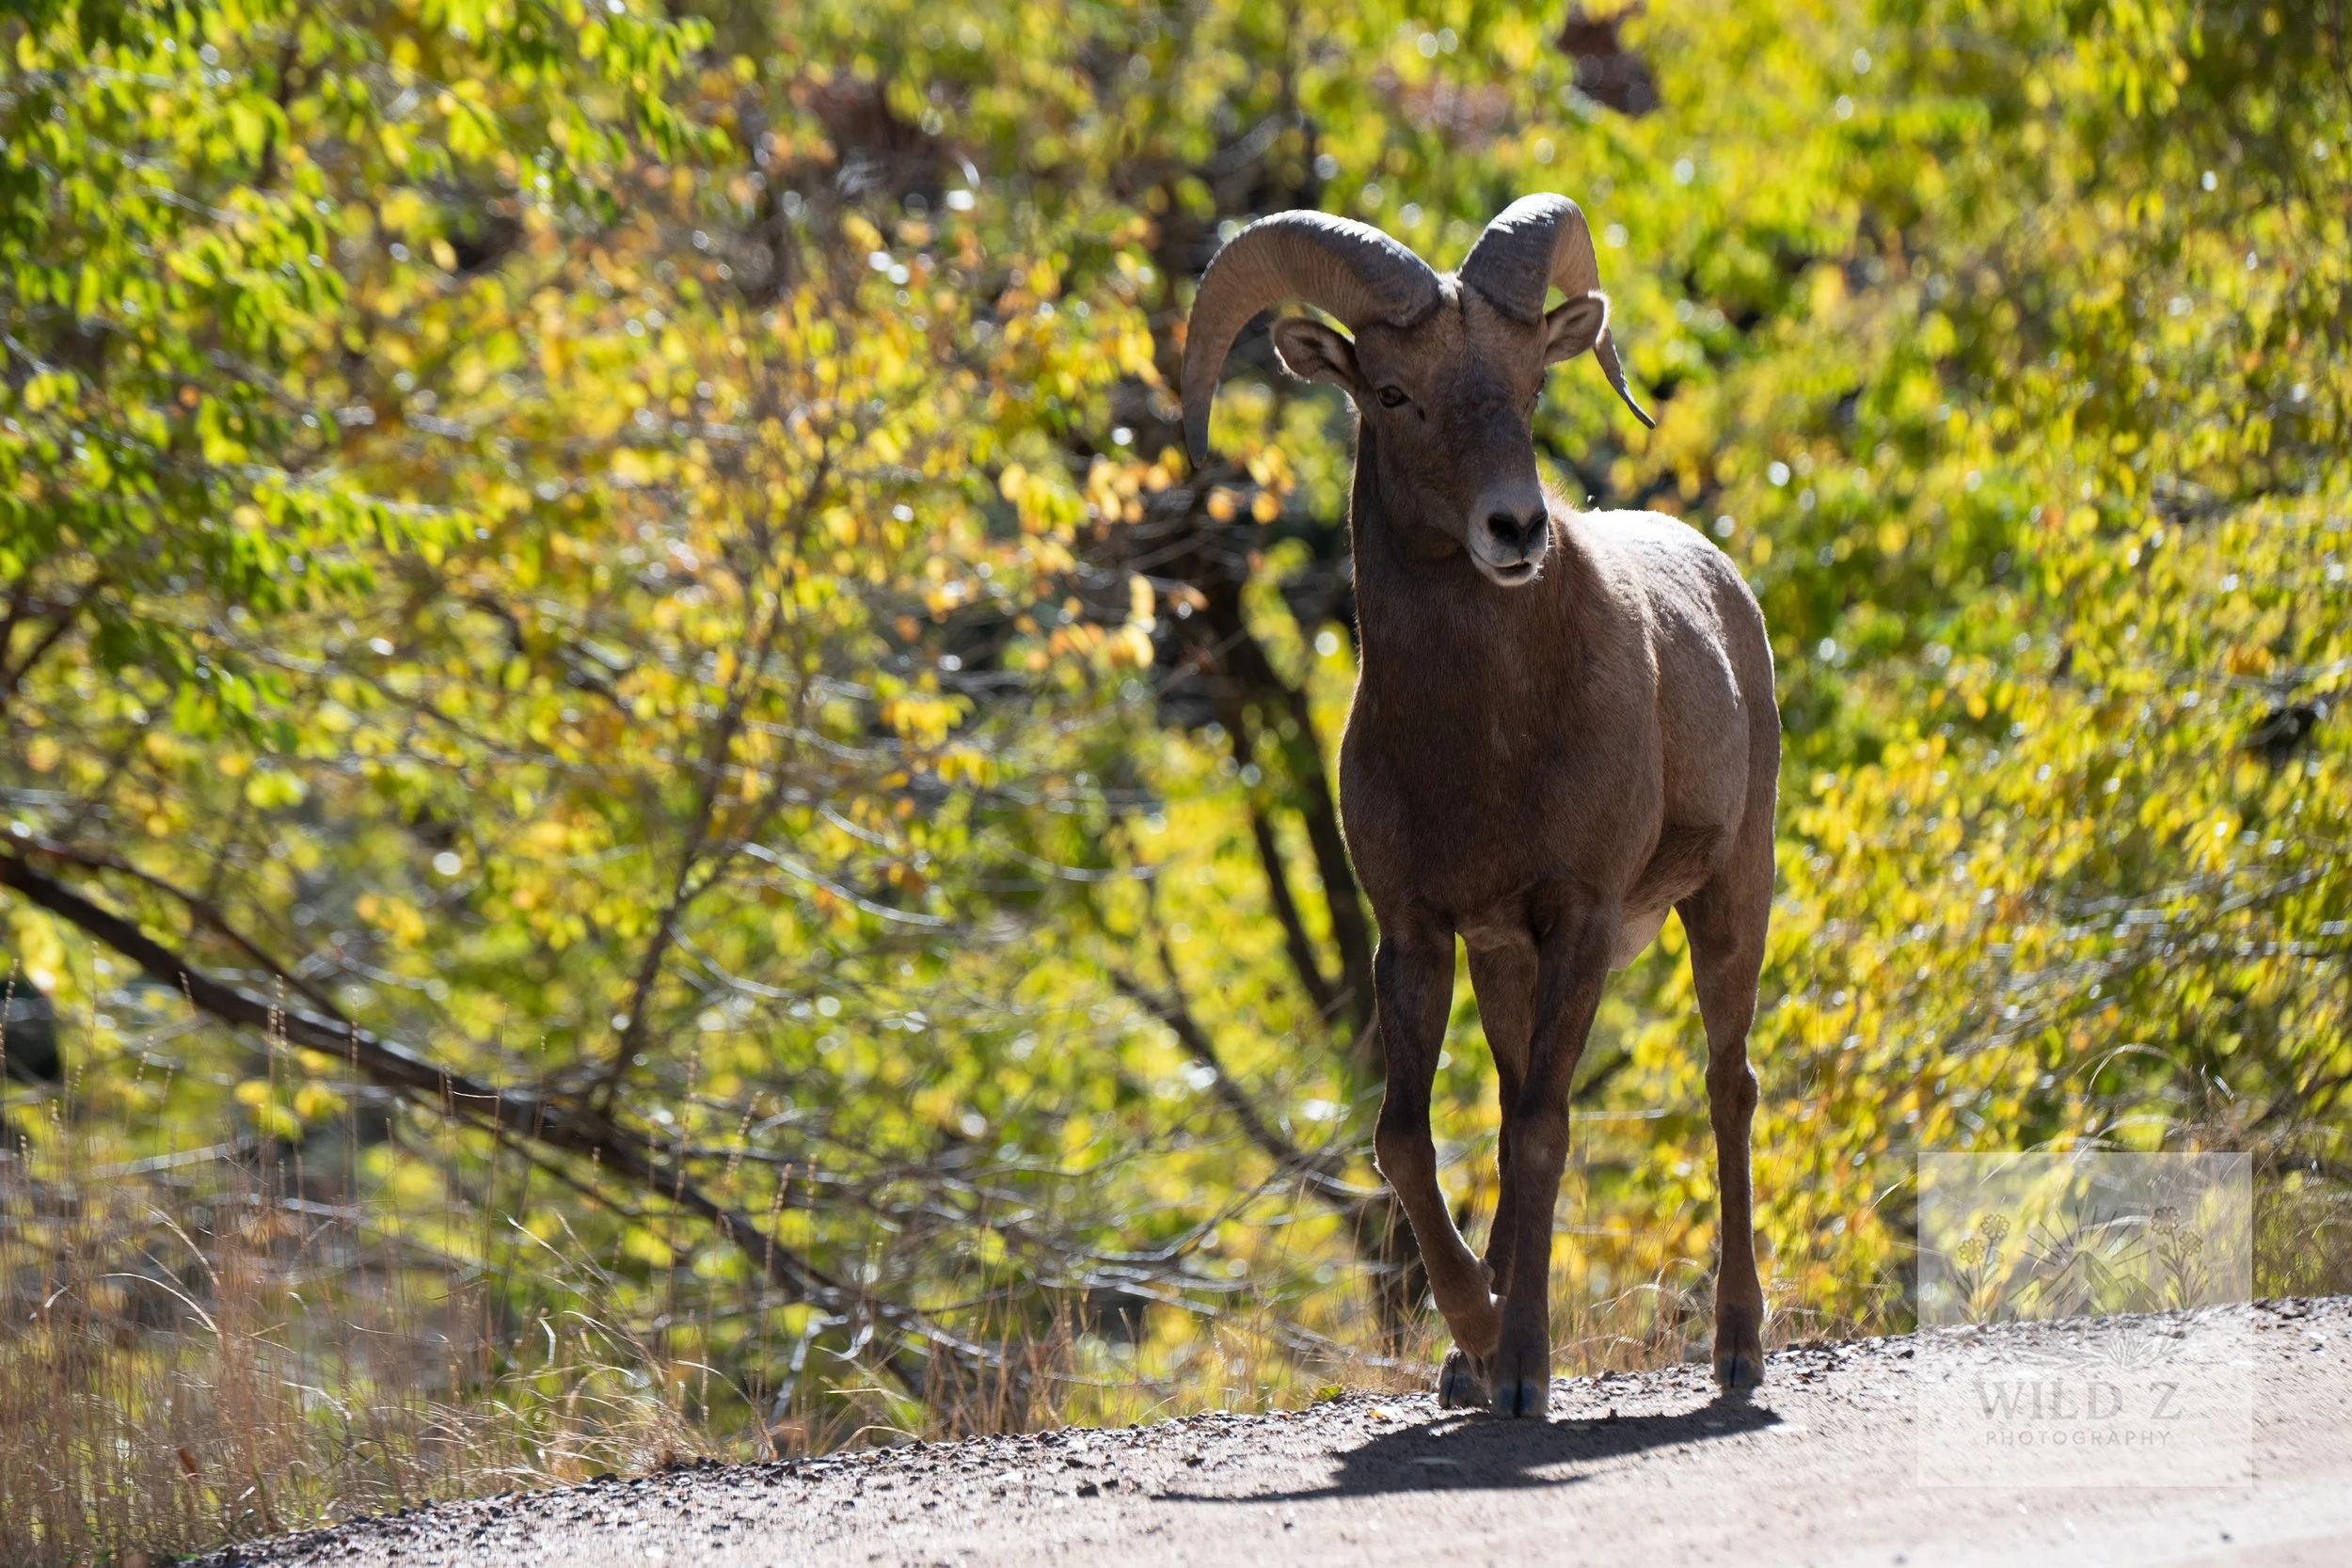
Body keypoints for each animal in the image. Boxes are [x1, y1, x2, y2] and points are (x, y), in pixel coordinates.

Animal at [1182, 195, 1779, 1416]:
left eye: (1529, 383)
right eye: (1392, 393)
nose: (1513, 529)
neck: (1482, 746)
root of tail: (1726, 582)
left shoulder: (1580, 919)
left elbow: (1542, 1132)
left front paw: (1524, 1368)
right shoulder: (1416, 932)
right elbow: (1410, 1139)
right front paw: (1477, 1339)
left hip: (1730, 902)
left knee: (1725, 1084)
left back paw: (1737, 1348)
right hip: (1508, 964)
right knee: (1508, 1097)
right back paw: (1472, 1357)